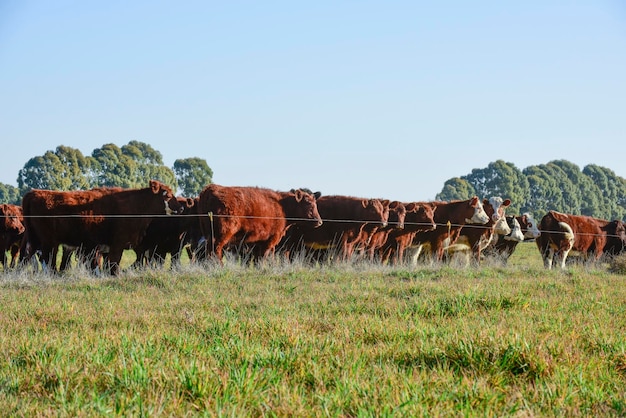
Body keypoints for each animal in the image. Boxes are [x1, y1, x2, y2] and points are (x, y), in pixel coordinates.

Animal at [22, 179, 182, 274]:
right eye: (167, 195)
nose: (181, 208)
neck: (135, 205)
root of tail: (34, 192)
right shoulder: (117, 244)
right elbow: (113, 264)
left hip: (37, 240)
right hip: (49, 242)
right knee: (47, 260)